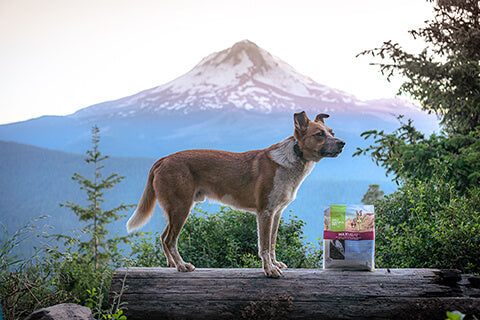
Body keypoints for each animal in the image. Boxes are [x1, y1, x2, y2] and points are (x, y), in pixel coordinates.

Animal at [127, 111, 344, 276]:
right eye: (319, 134)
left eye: (332, 132)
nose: (342, 143)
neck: (294, 159)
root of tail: (163, 159)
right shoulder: (265, 213)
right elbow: (264, 246)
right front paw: (270, 270)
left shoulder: (277, 213)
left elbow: (273, 243)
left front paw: (275, 263)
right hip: (181, 208)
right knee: (170, 240)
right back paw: (182, 265)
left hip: (176, 209)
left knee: (164, 237)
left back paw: (172, 264)